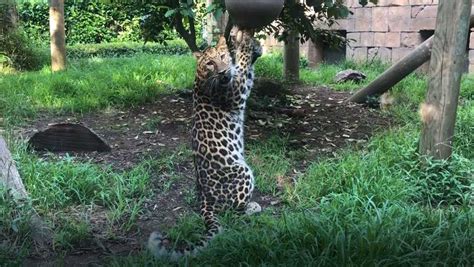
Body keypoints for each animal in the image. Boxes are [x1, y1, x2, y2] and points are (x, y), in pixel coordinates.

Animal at [147, 28, 262, 260]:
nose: (223, 72)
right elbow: (243, 65)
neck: (201, 76)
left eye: (222, 56)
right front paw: (245, 44)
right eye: (210, 63)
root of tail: (204, 200)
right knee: (232, 212)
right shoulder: (237, 91)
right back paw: (253, 207)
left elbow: (245, 70)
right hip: (242, 171)